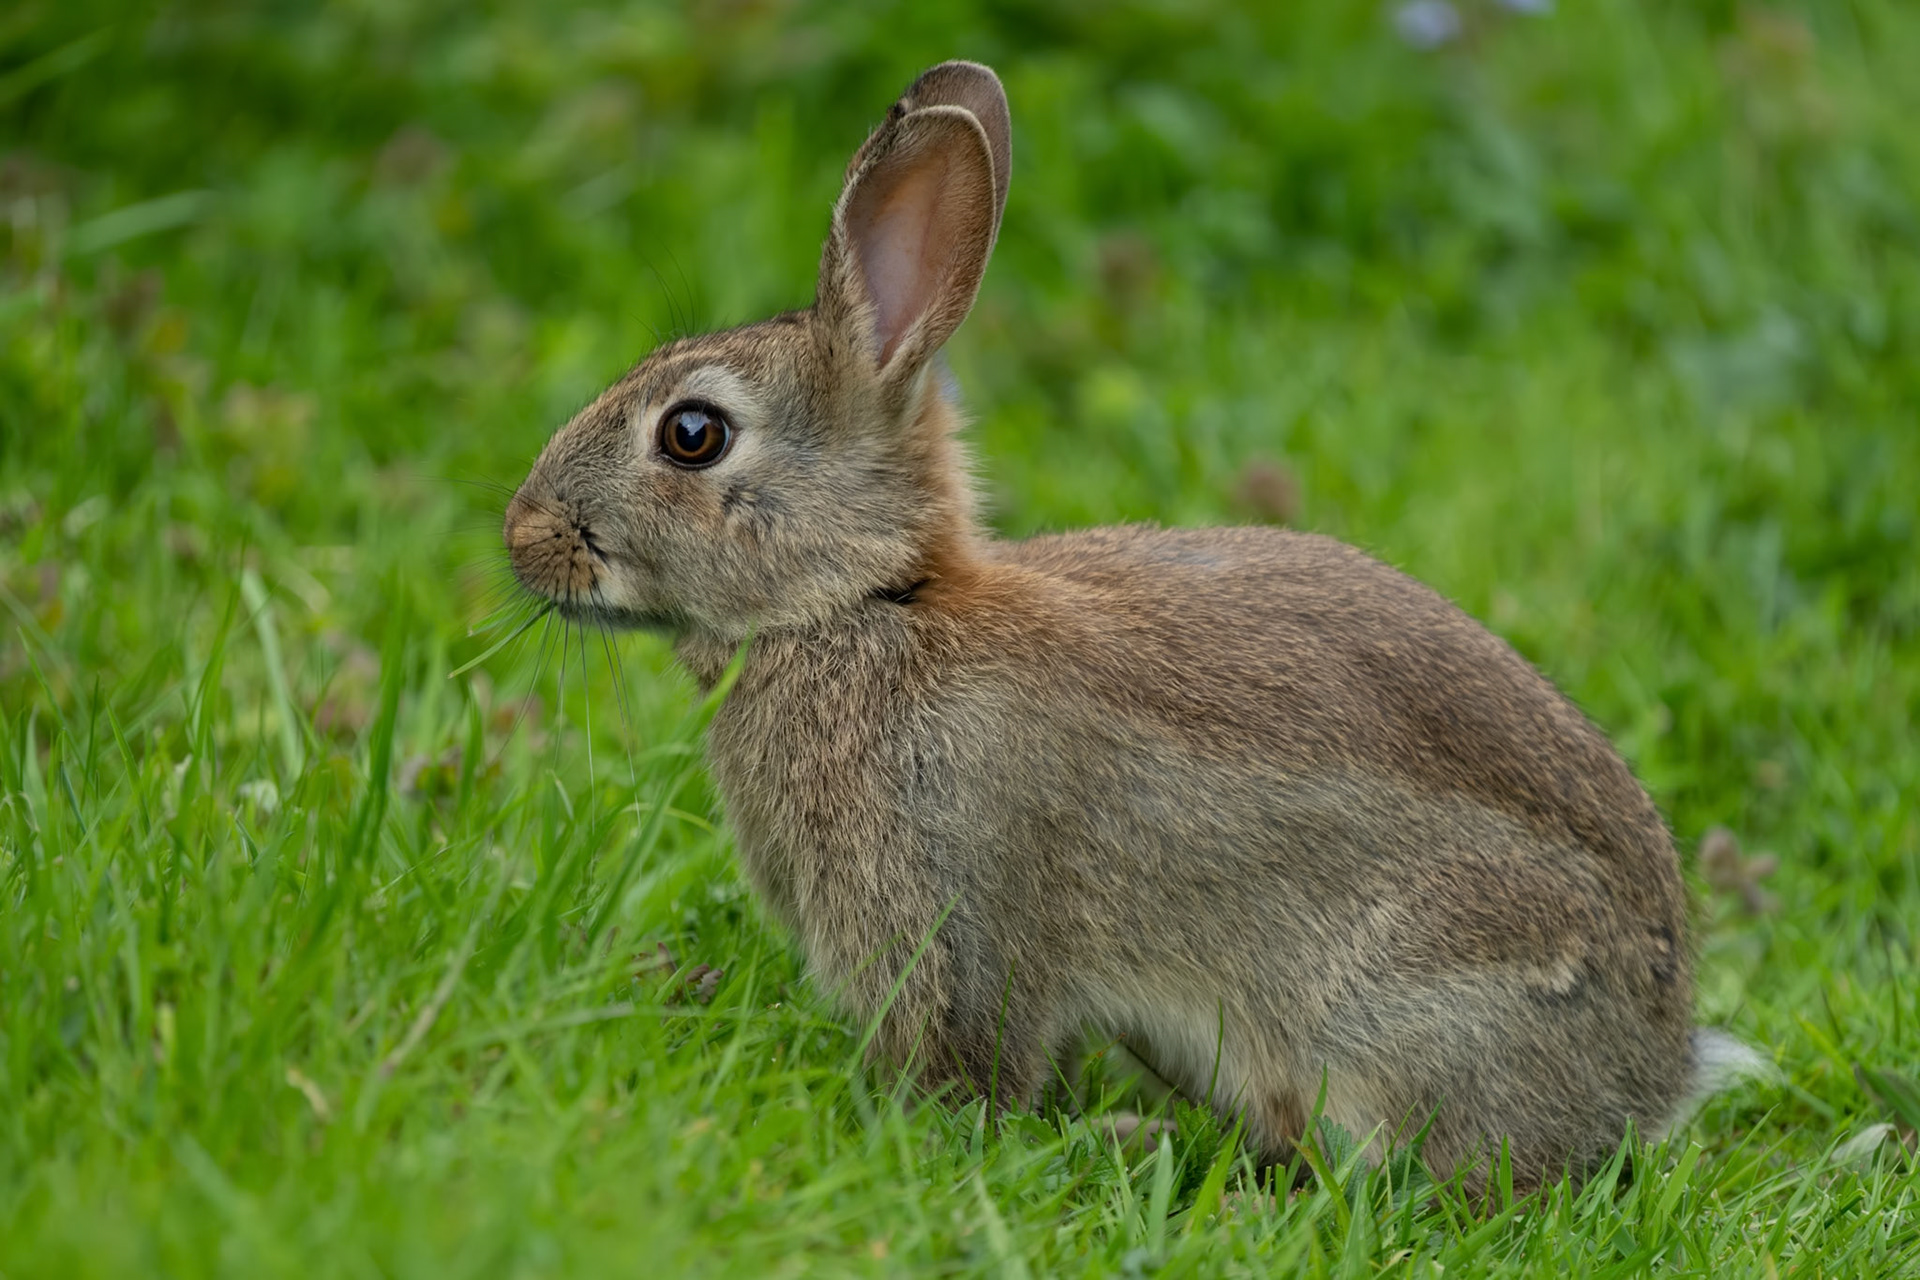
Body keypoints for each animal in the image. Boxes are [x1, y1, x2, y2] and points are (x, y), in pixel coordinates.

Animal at [502, 60, 1764, 1191]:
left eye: (694, 434)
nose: (522, 533)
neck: (867, 602)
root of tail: (1654, 1069)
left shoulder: (953, 906)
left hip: (1395, 1012)